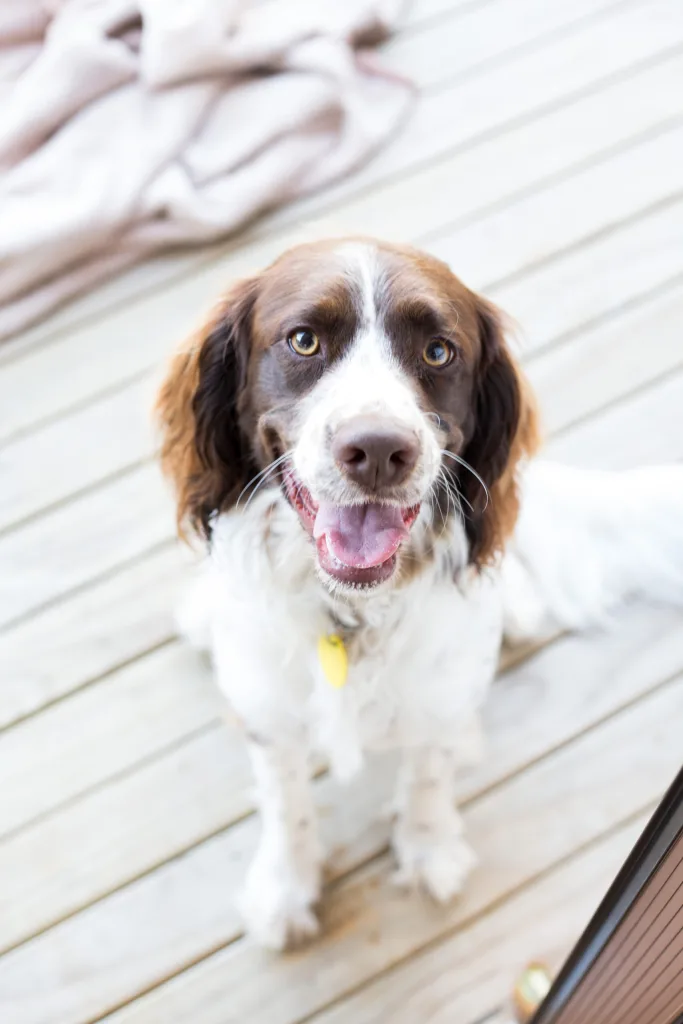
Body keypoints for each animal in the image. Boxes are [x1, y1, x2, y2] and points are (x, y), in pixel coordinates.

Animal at [154, 235, 683, 946]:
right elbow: (286, 800)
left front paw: (430, 848)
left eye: (438, 352)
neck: (350, 617)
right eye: (303, 341)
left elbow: (429, 771)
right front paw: (284, 888)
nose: (378, 450)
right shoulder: (267, 710)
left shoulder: (442, 696)